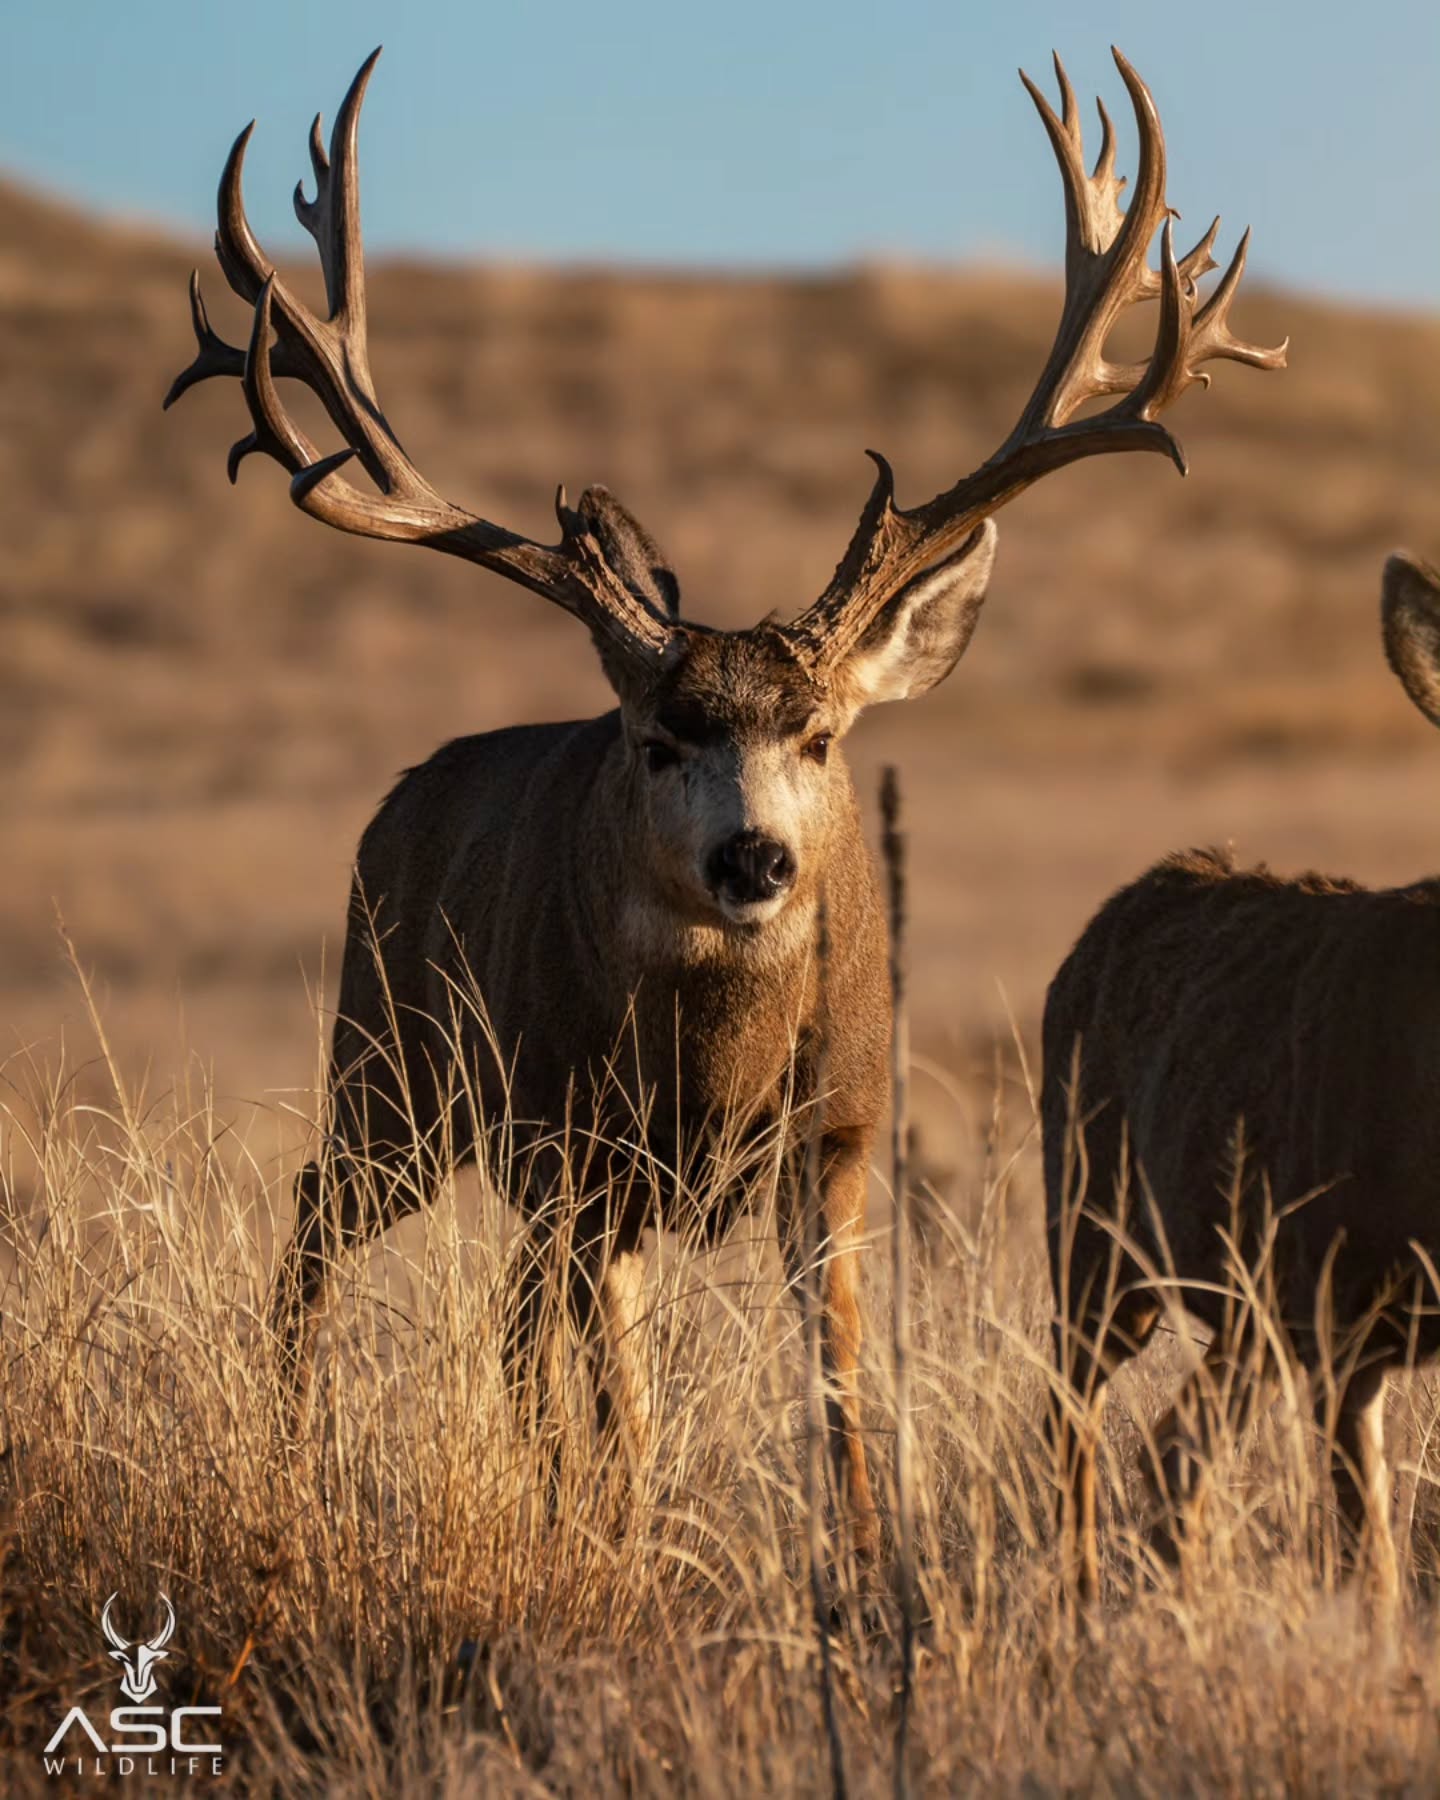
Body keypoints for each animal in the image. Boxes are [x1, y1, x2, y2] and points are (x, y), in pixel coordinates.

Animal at [165, 46, 1282, 1564]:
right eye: (656, 739)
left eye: (818, 734)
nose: (753, 860)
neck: (721, 1074)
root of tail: (406, 794)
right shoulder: (578, 1145)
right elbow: (611, 1398)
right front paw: (626, 1551)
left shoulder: (840, 1132)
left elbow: (839, 1379)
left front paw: (867, 1563)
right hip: (389, 1059)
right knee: (331, 1236)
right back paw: (297, 1457)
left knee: (518, 1331)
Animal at [1043, 551, 1440, 1606]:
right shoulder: (1336, 1300)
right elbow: (1369, 1557)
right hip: (1095, 1224)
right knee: (1077, 1407)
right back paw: (1078, 1599)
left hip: (1248, 1298)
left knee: (1175, 1446)